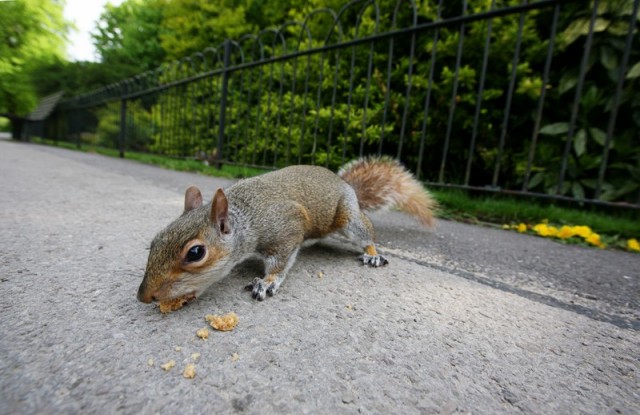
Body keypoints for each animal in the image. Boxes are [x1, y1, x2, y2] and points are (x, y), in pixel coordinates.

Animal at [135, 158, 436, 310]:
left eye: (196, 252)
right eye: (155, 241)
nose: (144, 297)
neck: (246, 217)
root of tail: (346, 185)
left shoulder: (286, 228)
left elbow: (280, 262)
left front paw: (266, 282)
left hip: (349, 219)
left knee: (366, 234)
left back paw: (372, 253)